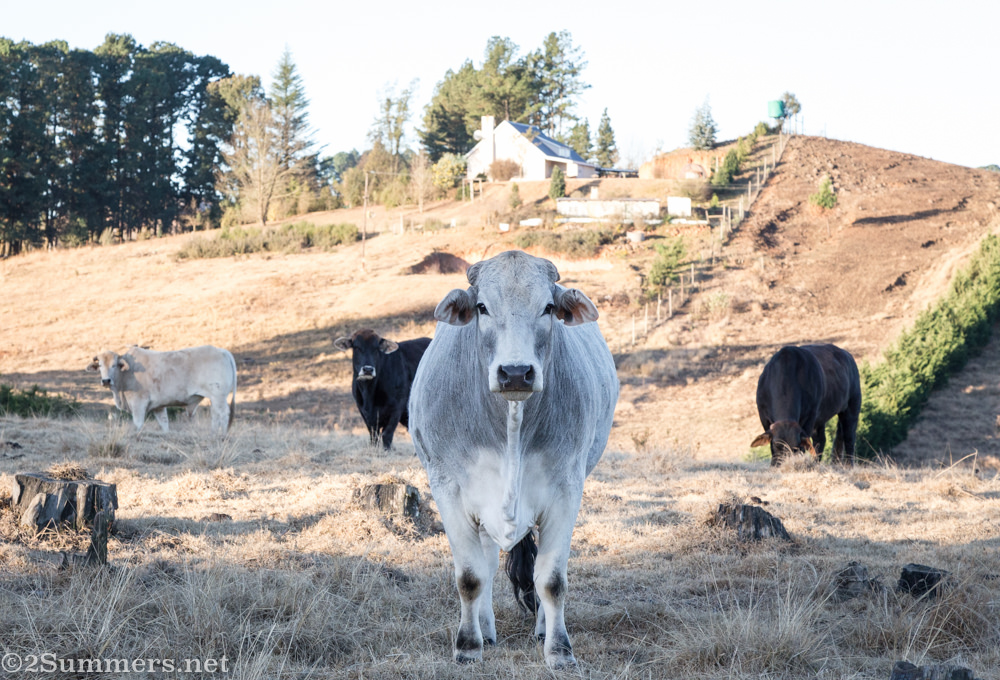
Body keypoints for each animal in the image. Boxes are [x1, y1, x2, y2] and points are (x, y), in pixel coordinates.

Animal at [87, 345, 237, 435]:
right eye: (100, 365)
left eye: (114, 365)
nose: (106, 381)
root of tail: (222, 351)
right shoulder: (159, 407)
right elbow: (164, 423)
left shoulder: (138, 403)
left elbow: (138, 424)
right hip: (215, 398)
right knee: (215, 415)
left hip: (218, 396)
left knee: (222, 414)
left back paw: (221, 435)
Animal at [408, 250, 619, 669]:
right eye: (482, 307)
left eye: (548, 307)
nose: (516, 373)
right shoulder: (449, 489)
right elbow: (471, 576)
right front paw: (468, 645)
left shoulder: (566, 489)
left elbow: (551, 580)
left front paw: (559, 650)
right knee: (487, 566)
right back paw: (487, 630)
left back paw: (538, 630)